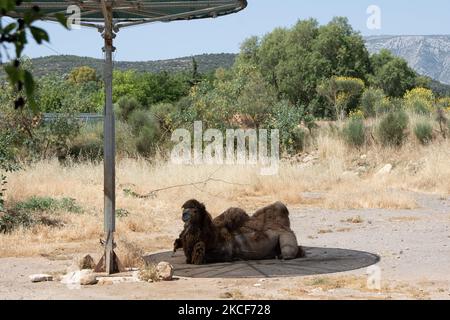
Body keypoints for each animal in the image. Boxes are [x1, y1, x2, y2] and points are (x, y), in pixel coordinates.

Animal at [174, 200, 304, 264]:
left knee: (288, 253)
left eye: (195, 210)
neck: (212, 236)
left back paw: (282, 256)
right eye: (185, 210)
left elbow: (215, 255)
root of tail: (285, 226)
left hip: (287, 236)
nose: (184, 214)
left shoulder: (226, 251)